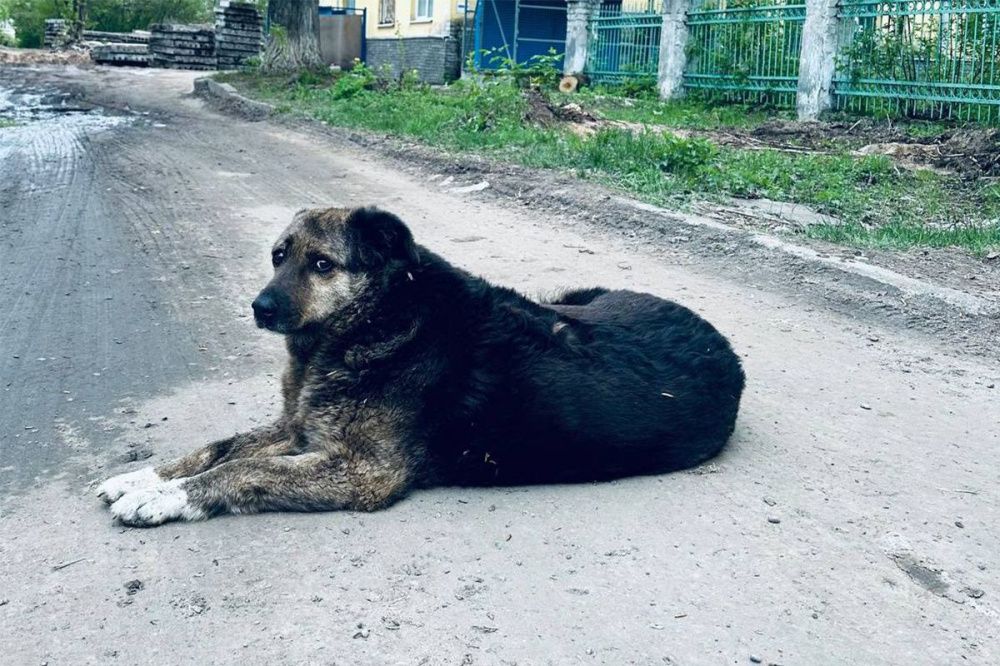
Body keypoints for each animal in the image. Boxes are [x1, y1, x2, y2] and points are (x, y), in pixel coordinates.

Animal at [97, 208, 748, 524]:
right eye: (279, 256)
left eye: (322, 264)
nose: (260, 308)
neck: (377, 321)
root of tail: (725, 348)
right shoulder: (299, 429)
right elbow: (221, 446)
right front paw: (147, 478)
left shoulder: (361, 471)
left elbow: (243, 469)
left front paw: (171, 497)